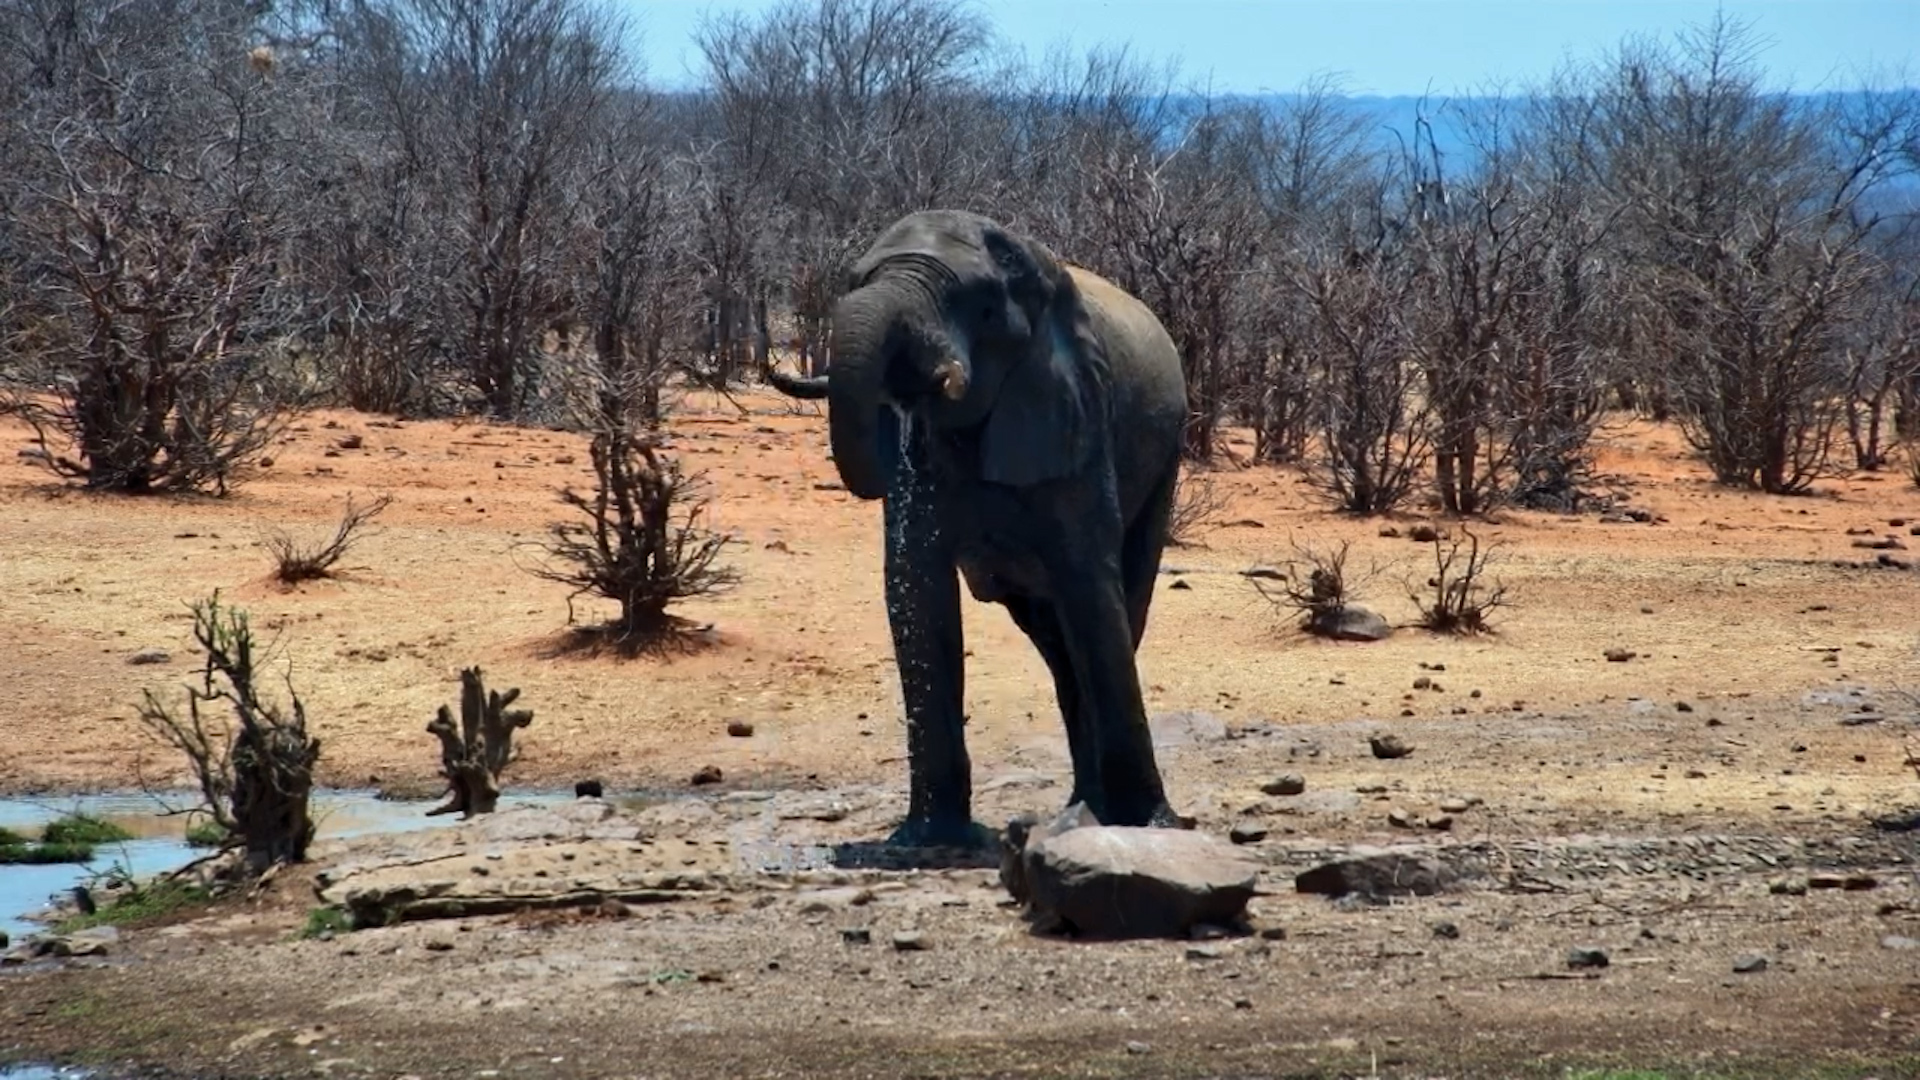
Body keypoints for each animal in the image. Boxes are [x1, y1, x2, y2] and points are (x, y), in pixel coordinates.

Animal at [768, 209, 1188, 848]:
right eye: (856, 281)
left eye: (983, 307)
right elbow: (918, 590)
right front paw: (927, 839)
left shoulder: (1076, 410)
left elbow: (1090, 586)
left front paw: (1150, 825)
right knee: (1057, 647)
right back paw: (1080, 806)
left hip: (1166, 458)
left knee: (1113, 612)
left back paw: (1088, 810)